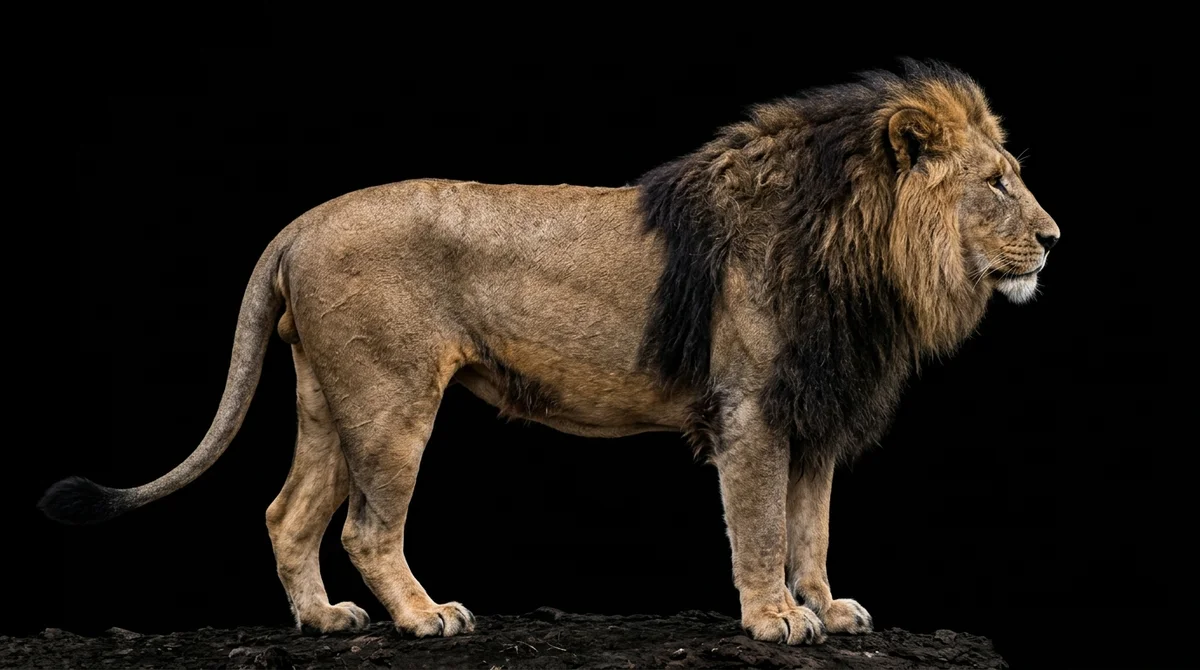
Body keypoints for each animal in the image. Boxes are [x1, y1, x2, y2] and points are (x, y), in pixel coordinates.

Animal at [40, 60, 1058, 645]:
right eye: (997, 183)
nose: (1055, 240)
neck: (864, 256)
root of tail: (301, 223)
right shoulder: (752, 410)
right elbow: (763, 527)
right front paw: (775, 620)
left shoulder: (811, 414)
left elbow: (812, 527)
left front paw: (829, 608)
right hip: (391, 398)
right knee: (366, 527)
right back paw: (425, 619)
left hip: (330, 396)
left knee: (287, 514)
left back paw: (325, 621)